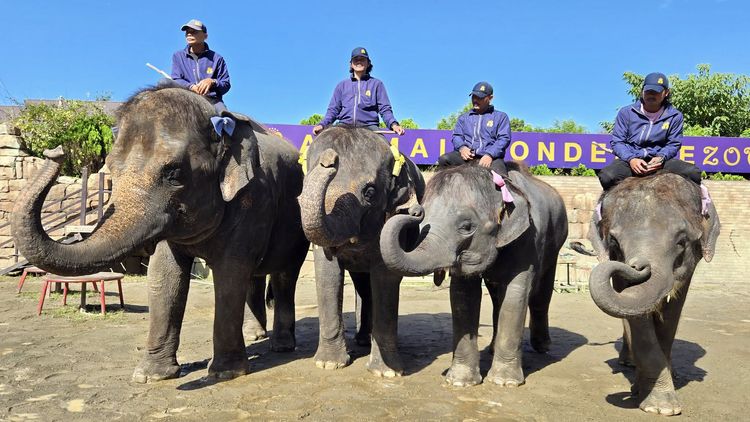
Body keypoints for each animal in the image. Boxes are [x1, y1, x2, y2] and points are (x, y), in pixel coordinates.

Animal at [11, 86, 310, 382]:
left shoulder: (253, 199)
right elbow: (164, 275)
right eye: (112, 168)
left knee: (284, 276)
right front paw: (151, 376)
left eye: (174, 174)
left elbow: (230, 273)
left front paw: (224, 373)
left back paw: (281, 346)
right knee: (255, 275)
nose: (56, 151)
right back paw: (254, 335)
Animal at [298, 126, 424, 377]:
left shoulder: (391, 215)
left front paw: (387, 372)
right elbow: (328, 274)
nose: (329, 160)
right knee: (363, 286)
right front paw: (328, 364)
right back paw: (364, 339)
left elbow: (385, 279)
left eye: (370, 192)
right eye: (304, 184)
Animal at [379, 162, 568, 387]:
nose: (414, 209)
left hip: (555, 244)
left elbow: (515, 294)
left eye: (467, 227)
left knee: (542, 294)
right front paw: (459, 382)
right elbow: (463, 296)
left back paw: (543, 347)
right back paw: (493, 348)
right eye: (423, 223)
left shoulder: (528, 240)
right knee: (497, 299)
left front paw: (504, 382)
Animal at [571, 173, 720, 415]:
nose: (639, 265)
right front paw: (656, 404)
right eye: (614, 242)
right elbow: (636, 315)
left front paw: (654, 399)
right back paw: (629, 363)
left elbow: (671, 313)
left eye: (681, 242)